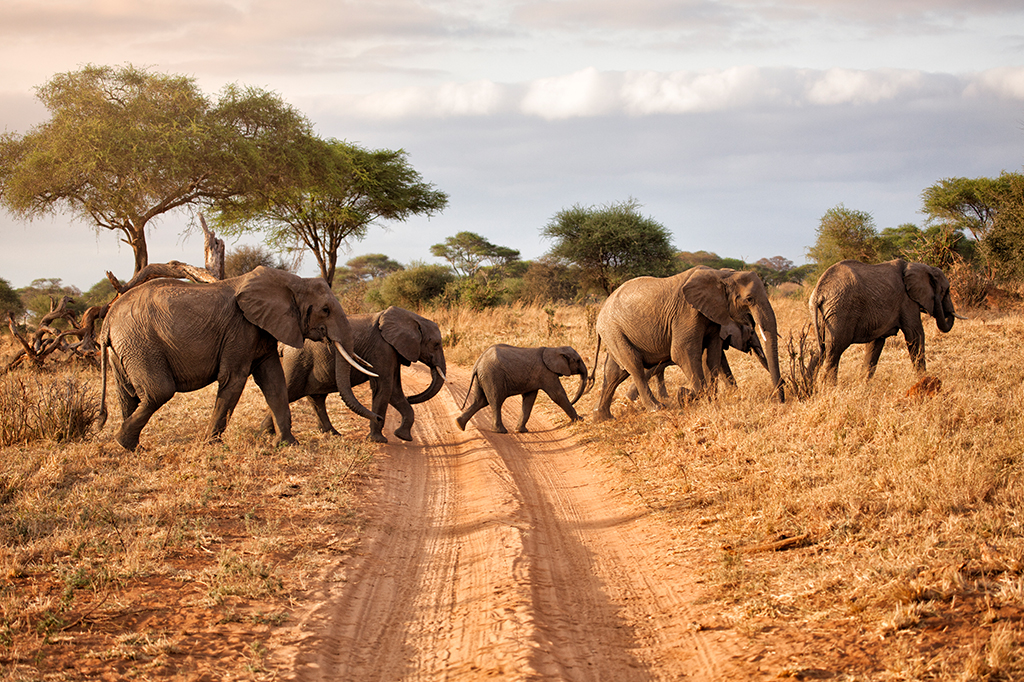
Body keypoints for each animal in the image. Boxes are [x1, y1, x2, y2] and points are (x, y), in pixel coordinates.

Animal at [97, 266, 380, 451]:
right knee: (158, 392)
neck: (292, 282)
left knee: (128, 394)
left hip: (124, 349)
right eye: (326, 310)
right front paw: (211, 445)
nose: (378, 419)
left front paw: (288, 444)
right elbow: (234, 379)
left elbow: (274, 383)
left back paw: (132, 447)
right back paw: (123, 442)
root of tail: (108, 319)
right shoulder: (240, 328)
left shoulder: (263, 329)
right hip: (140, 343)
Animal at [263, 306, 447, 443]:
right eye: (436, 344)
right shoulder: (382, 348)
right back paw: (266, 434)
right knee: (289, 391)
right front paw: (378, 440)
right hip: (298, 361)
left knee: (316, 398)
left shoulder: (392, 351)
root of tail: (283, 345)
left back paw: (331, 434)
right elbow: (384, 387)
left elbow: (394, 390)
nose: (411, 397)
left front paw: (403, 436)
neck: (412, 318)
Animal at [456, 344, 588, 434]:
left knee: (480, 401)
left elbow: (529, 400)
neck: (554, 348)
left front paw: (521, 430)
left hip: (482, 377)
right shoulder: (546, 373)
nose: (573, 401)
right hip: (492, 376)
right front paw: (580, 419)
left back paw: (459, 425)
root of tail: (478, 363)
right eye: (577, 360)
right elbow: (558, 395)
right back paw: (501, 431)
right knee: (495, 401)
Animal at [591, 266, 783, 422]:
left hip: (615, 333)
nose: (780, 400)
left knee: (614, 372)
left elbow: (713, 356)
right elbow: (682, 352)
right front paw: (685, 396)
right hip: (613, 330)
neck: (722, 275)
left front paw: (710, 399)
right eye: (749, 299)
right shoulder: (687, 312)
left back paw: (603, 417)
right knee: (634, 365)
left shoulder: (713, 316)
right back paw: (656, 408)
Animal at [809, 259, 963, 384]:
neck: (917, 266)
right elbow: (915, 335)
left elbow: (875, 344)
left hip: (824, 315)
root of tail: (819, 293)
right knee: (834, 350)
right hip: (840, 311)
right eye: (946, 290)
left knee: (819, 350)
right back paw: (829, 388)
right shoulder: (907, 301)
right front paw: (924, 378)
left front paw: (863, 385)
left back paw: (807, 390)